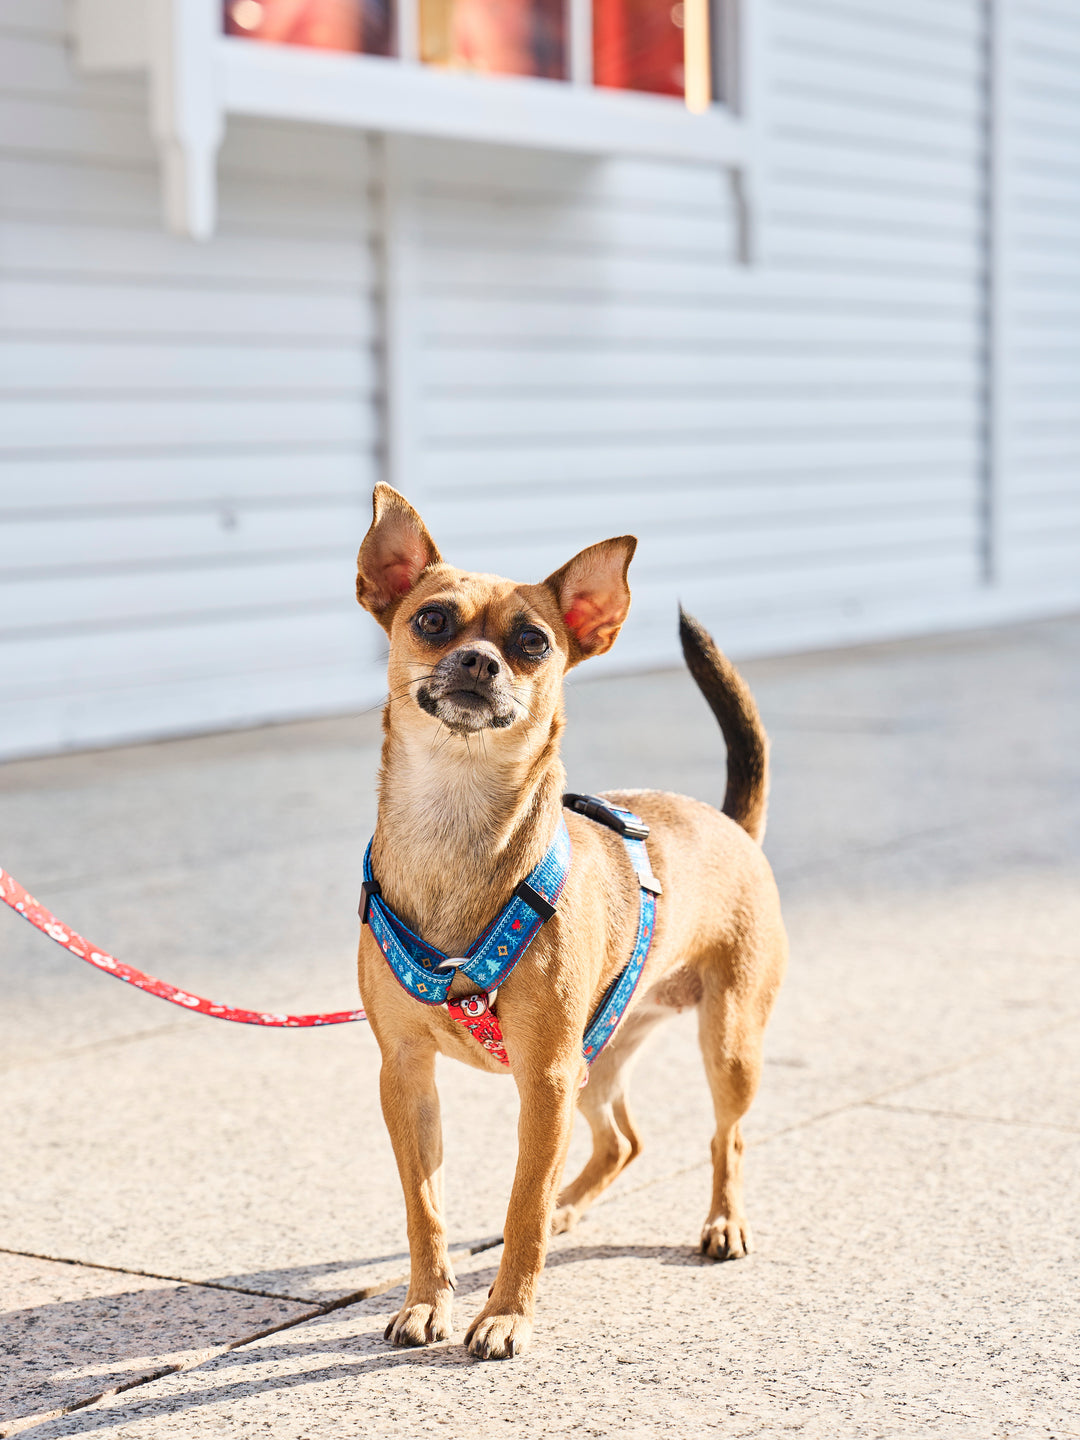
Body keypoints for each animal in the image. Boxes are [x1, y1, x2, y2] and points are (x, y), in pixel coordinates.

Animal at [355, 483, 789, 1359]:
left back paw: (722, 1223)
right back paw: (570, 1206)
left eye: (532, 642)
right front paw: (429, 1301)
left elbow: (519, 1206)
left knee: (725, 1137)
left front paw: (505, 1313)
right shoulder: (406, 1075)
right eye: (433, 620)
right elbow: (426, 1208)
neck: (455, 823)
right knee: (622, 1141)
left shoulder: (543, 1080)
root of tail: (732, 824)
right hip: (598, 1060)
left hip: (724, 1043)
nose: (480, 661)